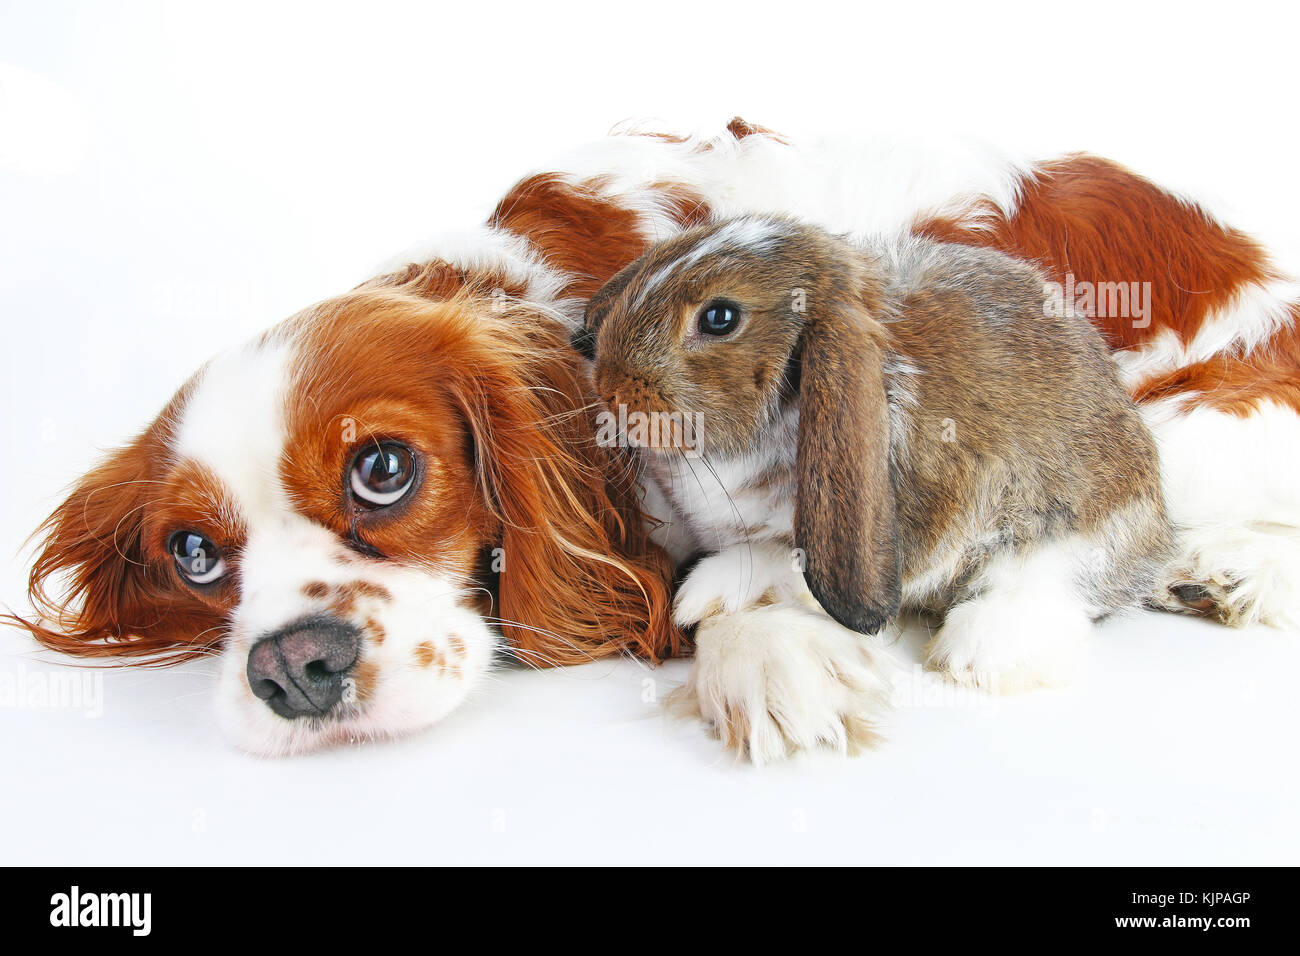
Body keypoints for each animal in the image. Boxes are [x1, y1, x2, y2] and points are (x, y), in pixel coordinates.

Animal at [577, 214, 1174, 700]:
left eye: (720, 317)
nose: (608, 384)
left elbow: (771, 558)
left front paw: (700, 595)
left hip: (1067, 539)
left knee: (1049, 594)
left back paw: (974, 654)